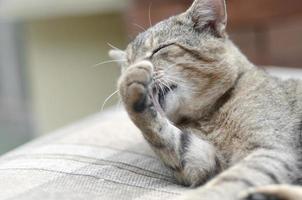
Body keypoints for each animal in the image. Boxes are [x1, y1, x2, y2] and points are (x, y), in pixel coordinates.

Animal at [108, 0, 302, 199]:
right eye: (127, 63)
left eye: (159, 49)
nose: (132, 67)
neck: (208, 117)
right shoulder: (205, 161)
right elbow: (166, 137)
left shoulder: (271, 150)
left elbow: (227, 183)